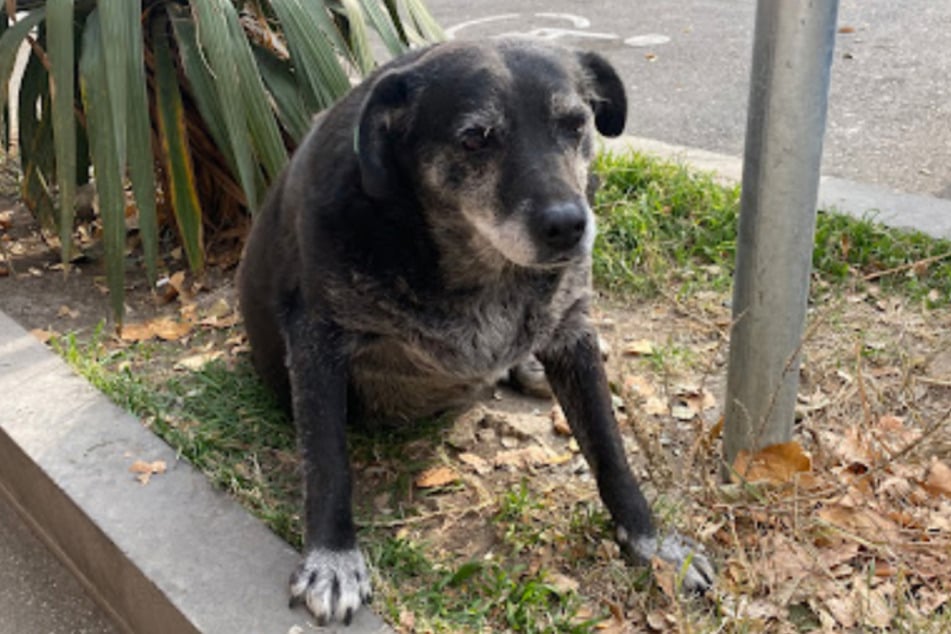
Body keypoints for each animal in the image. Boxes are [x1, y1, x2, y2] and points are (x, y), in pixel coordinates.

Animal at [238, 38, 712, 624]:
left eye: (575, 124)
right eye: (474, 139)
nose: (568, 225)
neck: (479, 269)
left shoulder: (573, 332)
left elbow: (611, 452)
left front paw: (654, 546)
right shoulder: (316, 340)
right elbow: (328, 464)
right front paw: (332, 560)